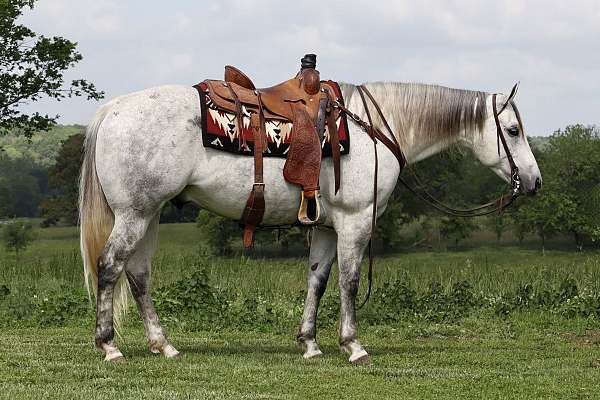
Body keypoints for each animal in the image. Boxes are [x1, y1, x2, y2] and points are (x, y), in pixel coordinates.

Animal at [77, 80, 540, 362]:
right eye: (513, 130)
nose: (534, 182)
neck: (374, 130)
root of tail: (113, 110)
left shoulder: (325, 228)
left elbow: (317, 279)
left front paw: (310, 343)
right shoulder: (355, 222)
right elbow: (349, 281)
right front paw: (352, 344)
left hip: (149, 215)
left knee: (138, 276)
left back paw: (163, 345)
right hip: (135, 215)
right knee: (110, 267)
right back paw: (109, 345)